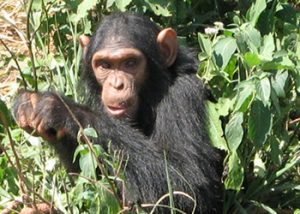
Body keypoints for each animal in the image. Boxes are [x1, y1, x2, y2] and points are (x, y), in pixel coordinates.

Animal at [13, 12, 223, 213]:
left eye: (130, 63)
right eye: (104, 65)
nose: (116, 84)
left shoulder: (183, 94)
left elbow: (186, 182)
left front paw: (60, 109)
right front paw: (29, 105)